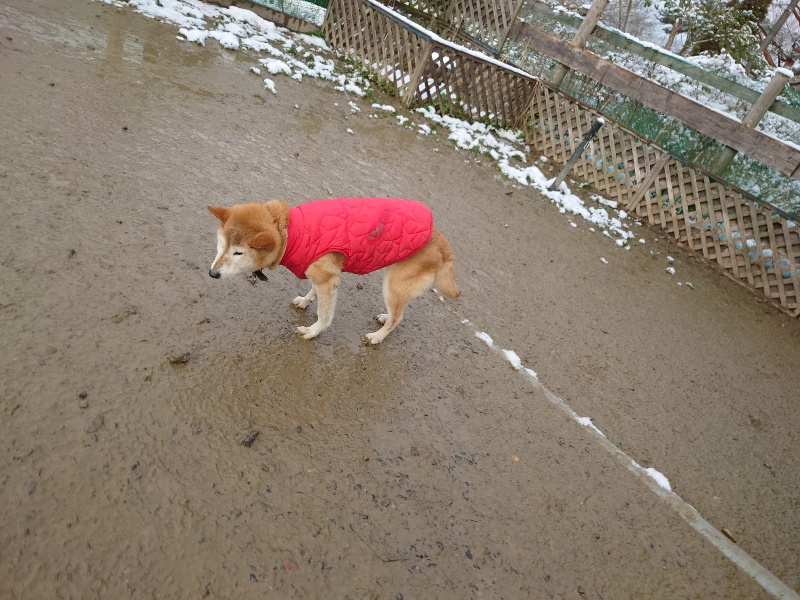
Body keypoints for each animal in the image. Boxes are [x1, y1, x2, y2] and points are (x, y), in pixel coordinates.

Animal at [207, 197, 460, 344]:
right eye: (221, 244)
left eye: (238, 253)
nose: (212, 274)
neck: (292, 231)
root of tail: (444, 245)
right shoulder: (318, 271)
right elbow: (313, 290)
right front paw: (305, 301)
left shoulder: (328, 280)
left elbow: (324, 315)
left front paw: (313, 332)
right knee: (396, 314)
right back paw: (384, 317)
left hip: (393, 284)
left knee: (399, 317)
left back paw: (377, 337)